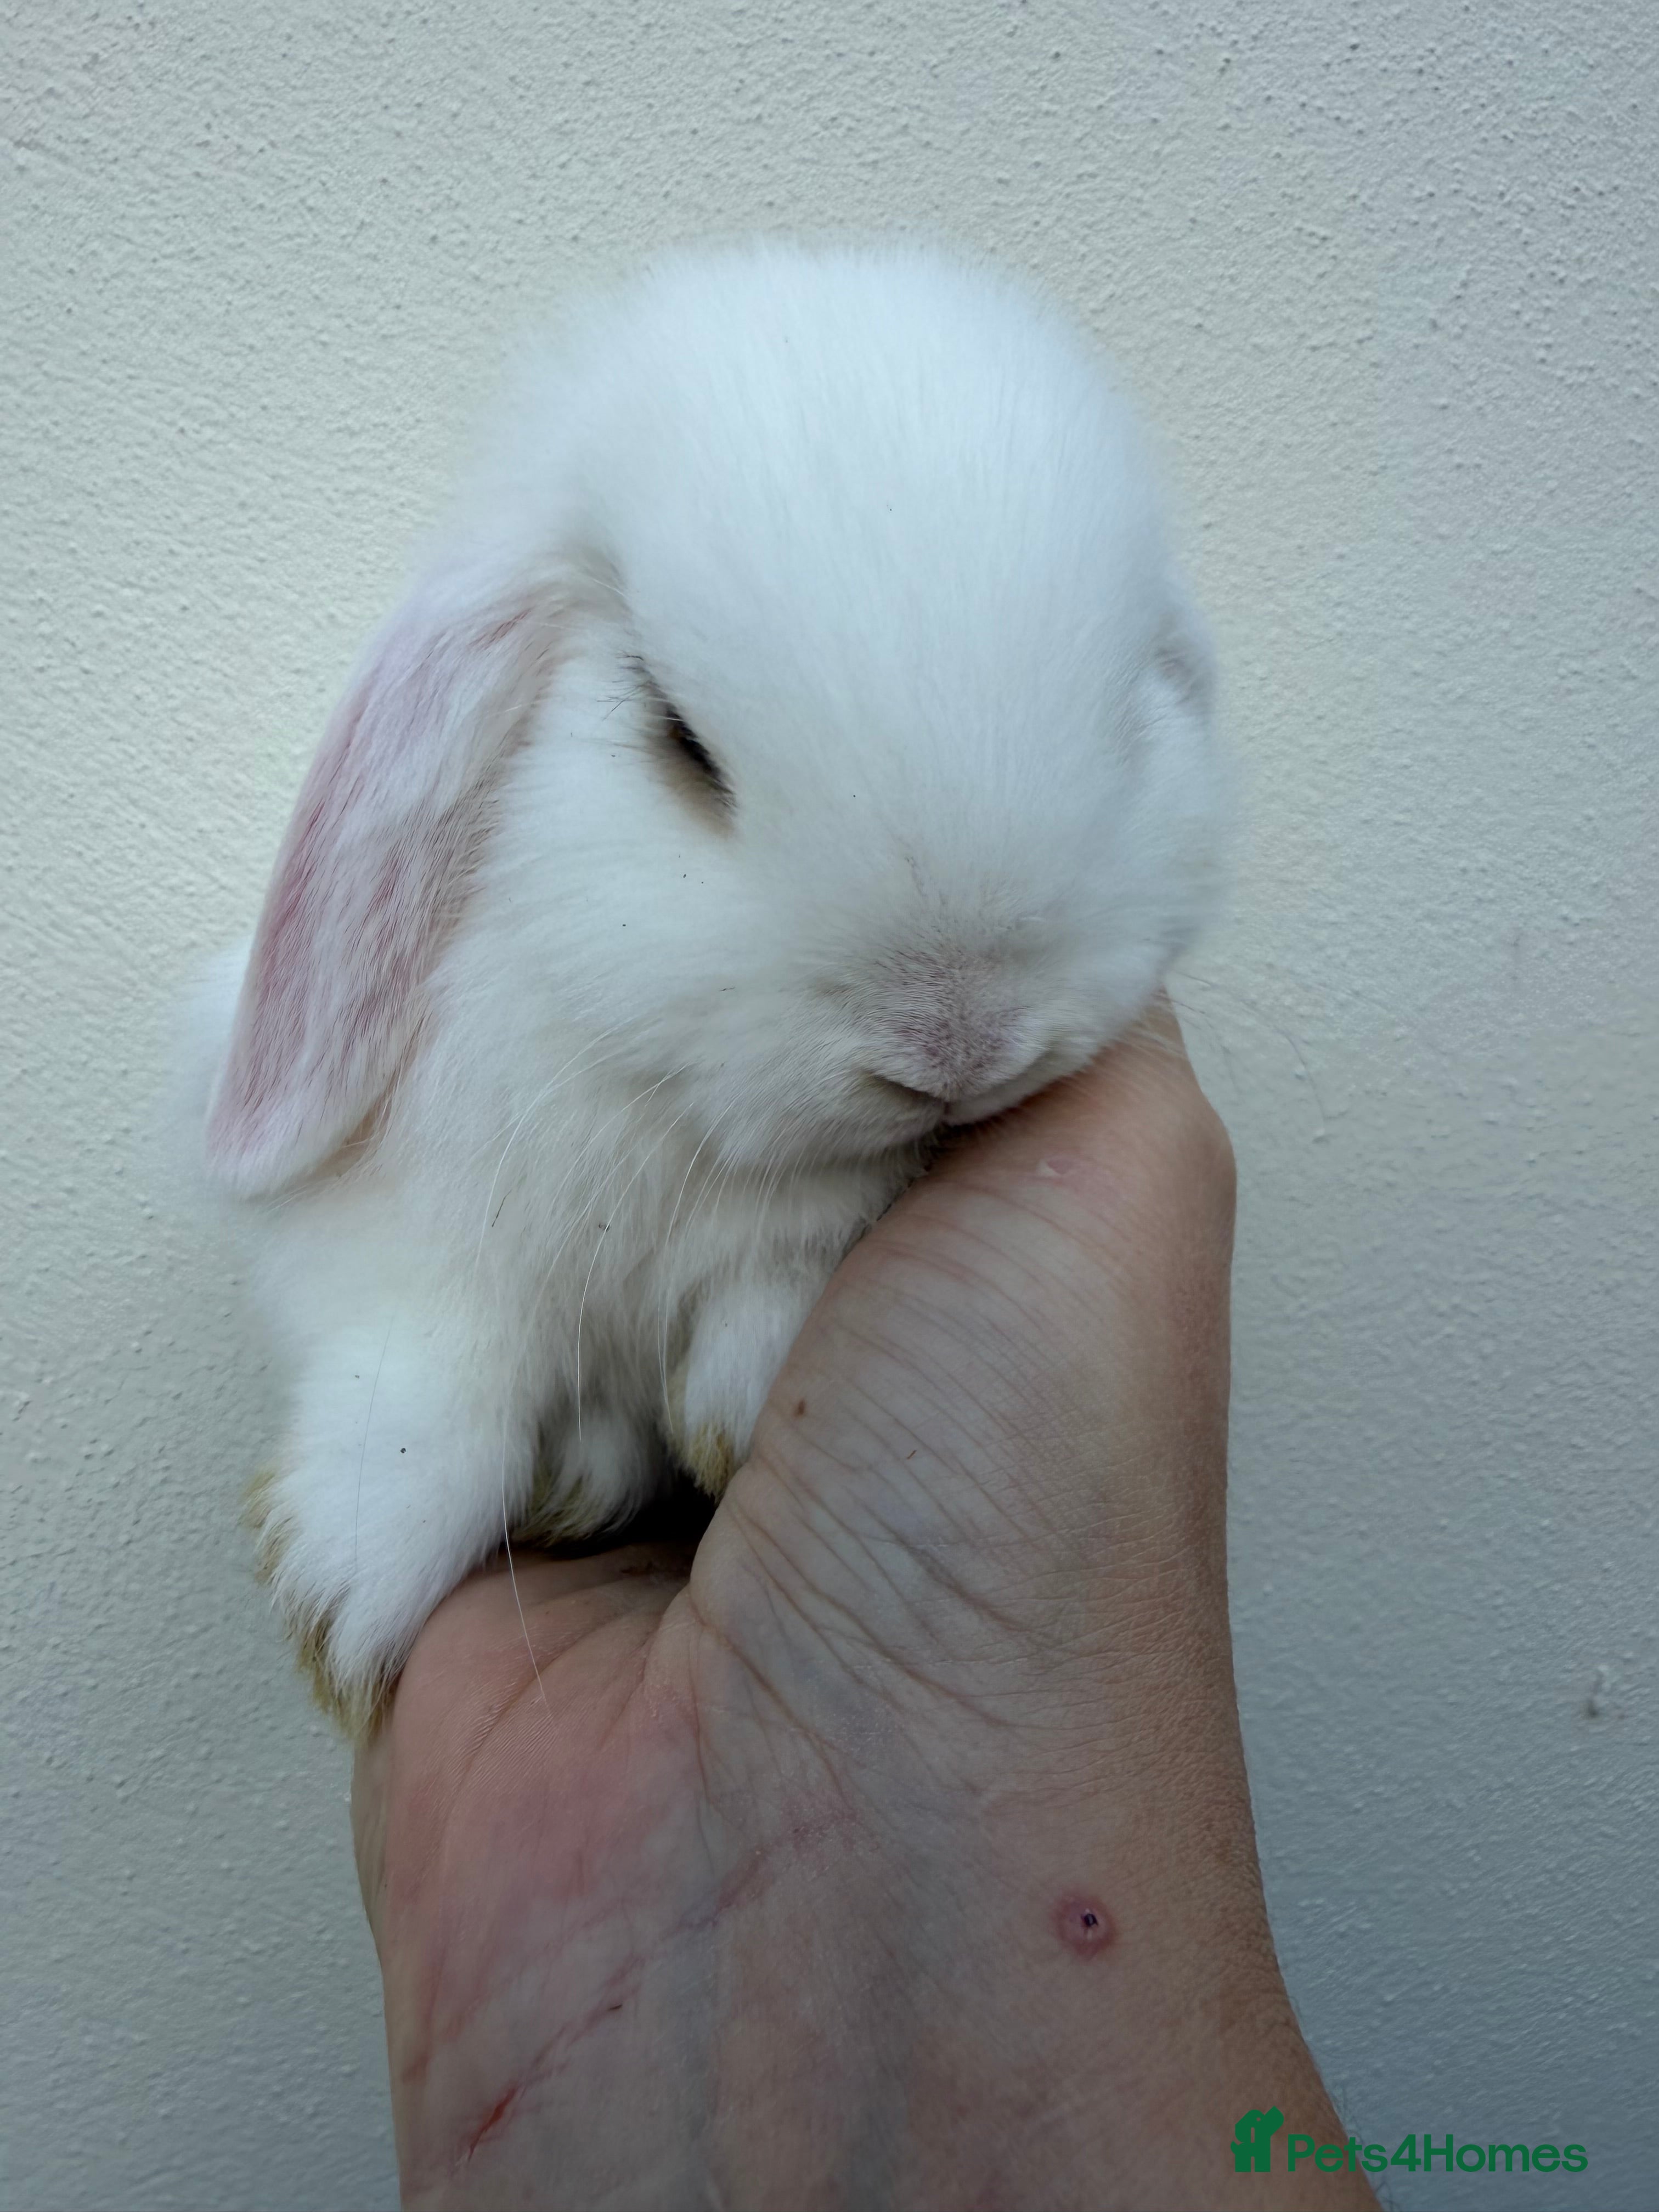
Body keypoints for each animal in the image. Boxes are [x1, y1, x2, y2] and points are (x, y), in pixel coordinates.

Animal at [192, 237, 1229, 1732]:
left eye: (1131, 716)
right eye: (679, 738)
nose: (956, 1046)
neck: (669, 1109)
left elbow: (776, 1272)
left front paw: (731, 1411)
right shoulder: (405, 1244)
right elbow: (438, 1365)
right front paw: (343, 1581)